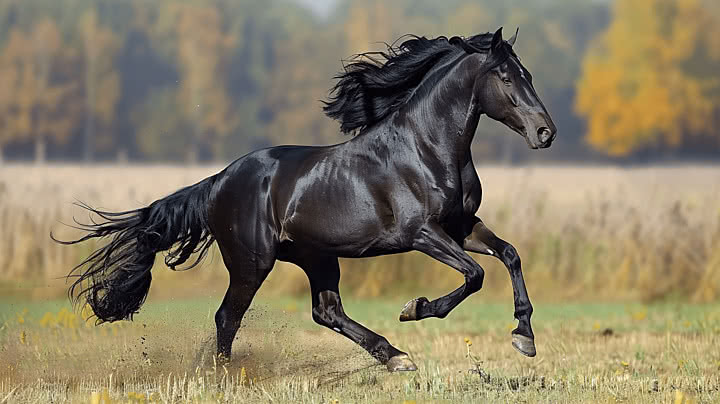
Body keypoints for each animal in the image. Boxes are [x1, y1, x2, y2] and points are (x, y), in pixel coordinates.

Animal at [56, 27, 556, 372]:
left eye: (530, 75)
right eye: (506, 77)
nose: (545, 133)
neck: (427, 147)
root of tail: (217, 182)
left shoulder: (462, 226)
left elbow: (509, 255)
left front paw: (524, 337)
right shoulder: (421, 233)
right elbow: (474, 275)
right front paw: (414, 309)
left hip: (317, 257)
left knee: (326, 311)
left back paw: (395, 356)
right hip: (252, 263)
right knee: (227, 317)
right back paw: (224, 376)